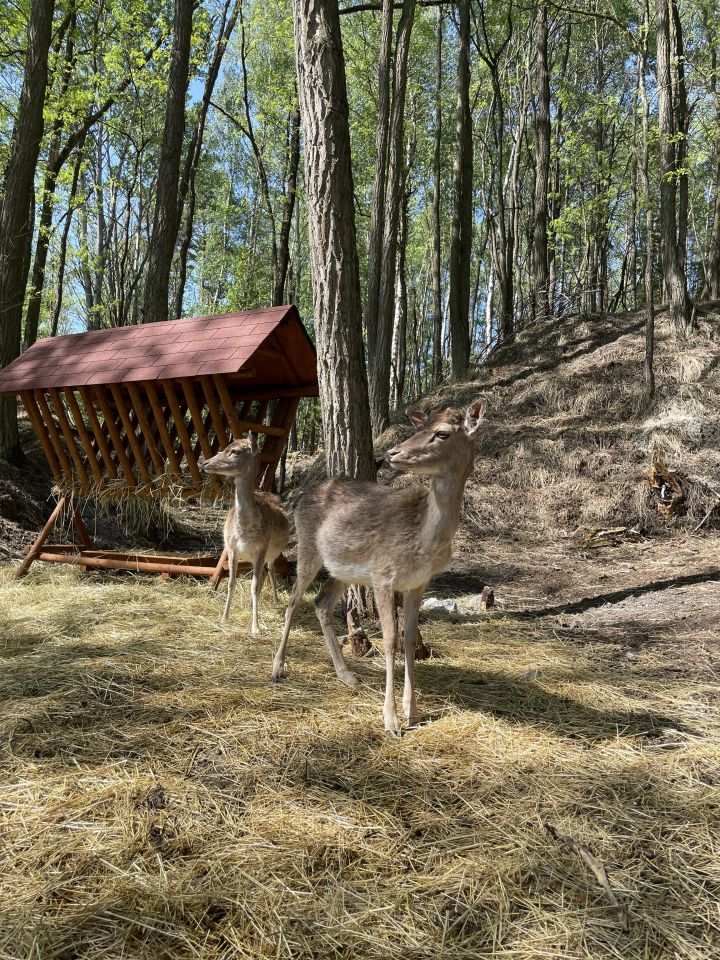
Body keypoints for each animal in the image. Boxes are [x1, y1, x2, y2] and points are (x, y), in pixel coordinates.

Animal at [200, 436, 290, 632]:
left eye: (235, 451)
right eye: (225, 447)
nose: (205, 463)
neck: (245, 531)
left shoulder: (261, 548)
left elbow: (254, 586)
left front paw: (255, 627)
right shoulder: (232, 549)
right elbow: (231, 583)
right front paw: (224, 619)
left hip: (273, 553)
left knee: (270, 569)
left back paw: (276, 600)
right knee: (263, 573)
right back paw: (250, 604)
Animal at [272, 398, 490, 736]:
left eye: (442, 433)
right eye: (419, 426)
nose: (392, 453)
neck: (424, 540)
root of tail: (299, 497)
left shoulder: (419, 582)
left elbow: (410, 637)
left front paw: (413, 711)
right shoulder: (383, 575)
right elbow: (390, 639)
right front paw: (391, 719)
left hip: (342, 569)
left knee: (321, 602)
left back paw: (347, 675)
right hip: (309, 550)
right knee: (293, 602)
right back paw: (278, 668)